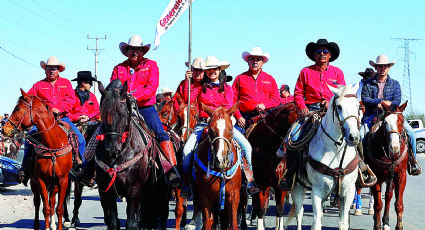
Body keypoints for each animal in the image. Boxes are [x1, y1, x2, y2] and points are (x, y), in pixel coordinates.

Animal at [2, 89, 73, 230]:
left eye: (17, 108)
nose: (4, 129)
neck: (53, 146)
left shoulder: (63, 179)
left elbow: (58, 208)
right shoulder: (41, 180)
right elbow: (45, 208)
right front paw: (46, 226)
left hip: (54, 184)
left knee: (52, 201)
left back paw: (52, 224)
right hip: (34, 183)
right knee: (37, 202)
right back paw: (37, 224)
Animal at [288, 83, 358, 230]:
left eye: (357, 105)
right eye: (339, 106)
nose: (354, 137)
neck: (336, 151)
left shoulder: (348, 191)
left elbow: (343, 223)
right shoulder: (317, 191)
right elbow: (316, 224)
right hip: (298, 187)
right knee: (299, 213)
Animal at [362, 102, 410, 230]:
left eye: (402, 120)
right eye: (385, 122)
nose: (394, 147)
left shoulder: (401, 176)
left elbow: (399, 204)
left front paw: (398, 226)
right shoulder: (376, 178)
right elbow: (378, 205)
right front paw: (377, 226)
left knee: (388, 196)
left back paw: (386, 222)